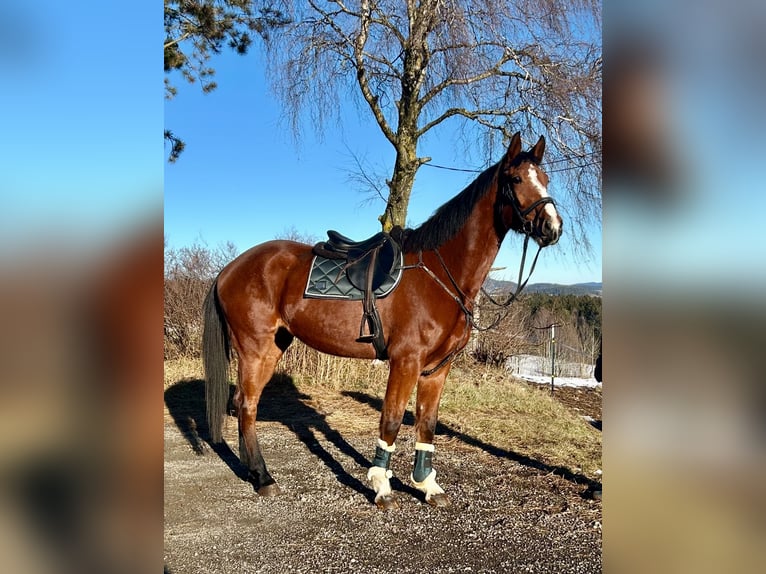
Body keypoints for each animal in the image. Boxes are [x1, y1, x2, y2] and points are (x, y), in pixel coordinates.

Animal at [204, 133, 564, 510]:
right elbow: (391, 420)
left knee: (245, 404)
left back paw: (253, 471)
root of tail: (229, 269)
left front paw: (427, 485)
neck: (439, 273)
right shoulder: (406, 361)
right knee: (246, 405)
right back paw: (263, 477)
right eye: (516, 179)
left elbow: (427, 423)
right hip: (255, 348)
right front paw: (381, 486)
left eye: (546, 179)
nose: (552, 228)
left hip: (274, 346)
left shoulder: (437, 368)